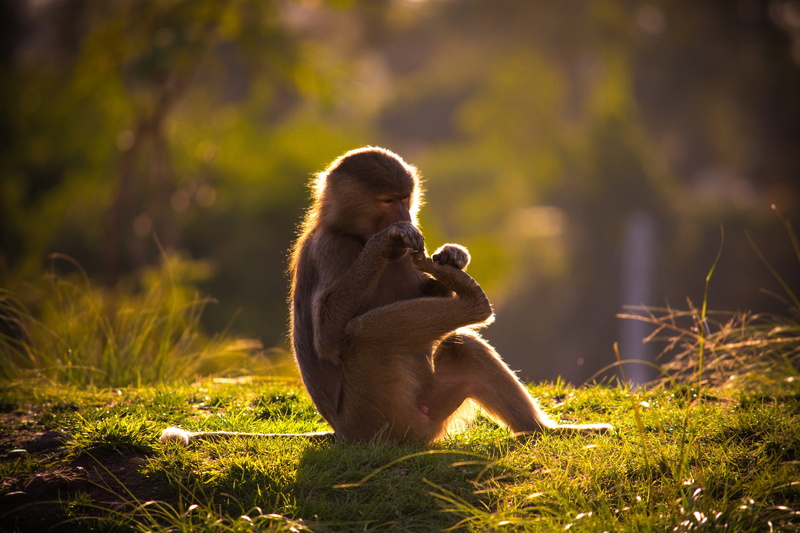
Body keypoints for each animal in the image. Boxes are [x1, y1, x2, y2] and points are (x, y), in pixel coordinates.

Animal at [160, 146, 611, 446]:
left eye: (405, 198)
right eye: (387, 201)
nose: (406, 218)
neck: (351, 231)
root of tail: (343, 432)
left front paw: (450, 257)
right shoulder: (332, 249)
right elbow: (329, 339)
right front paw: (387, 242)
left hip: (427, 411)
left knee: (461, 346)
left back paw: (544, 432)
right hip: (380, 417)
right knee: (363, 335)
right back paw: (474, 303)